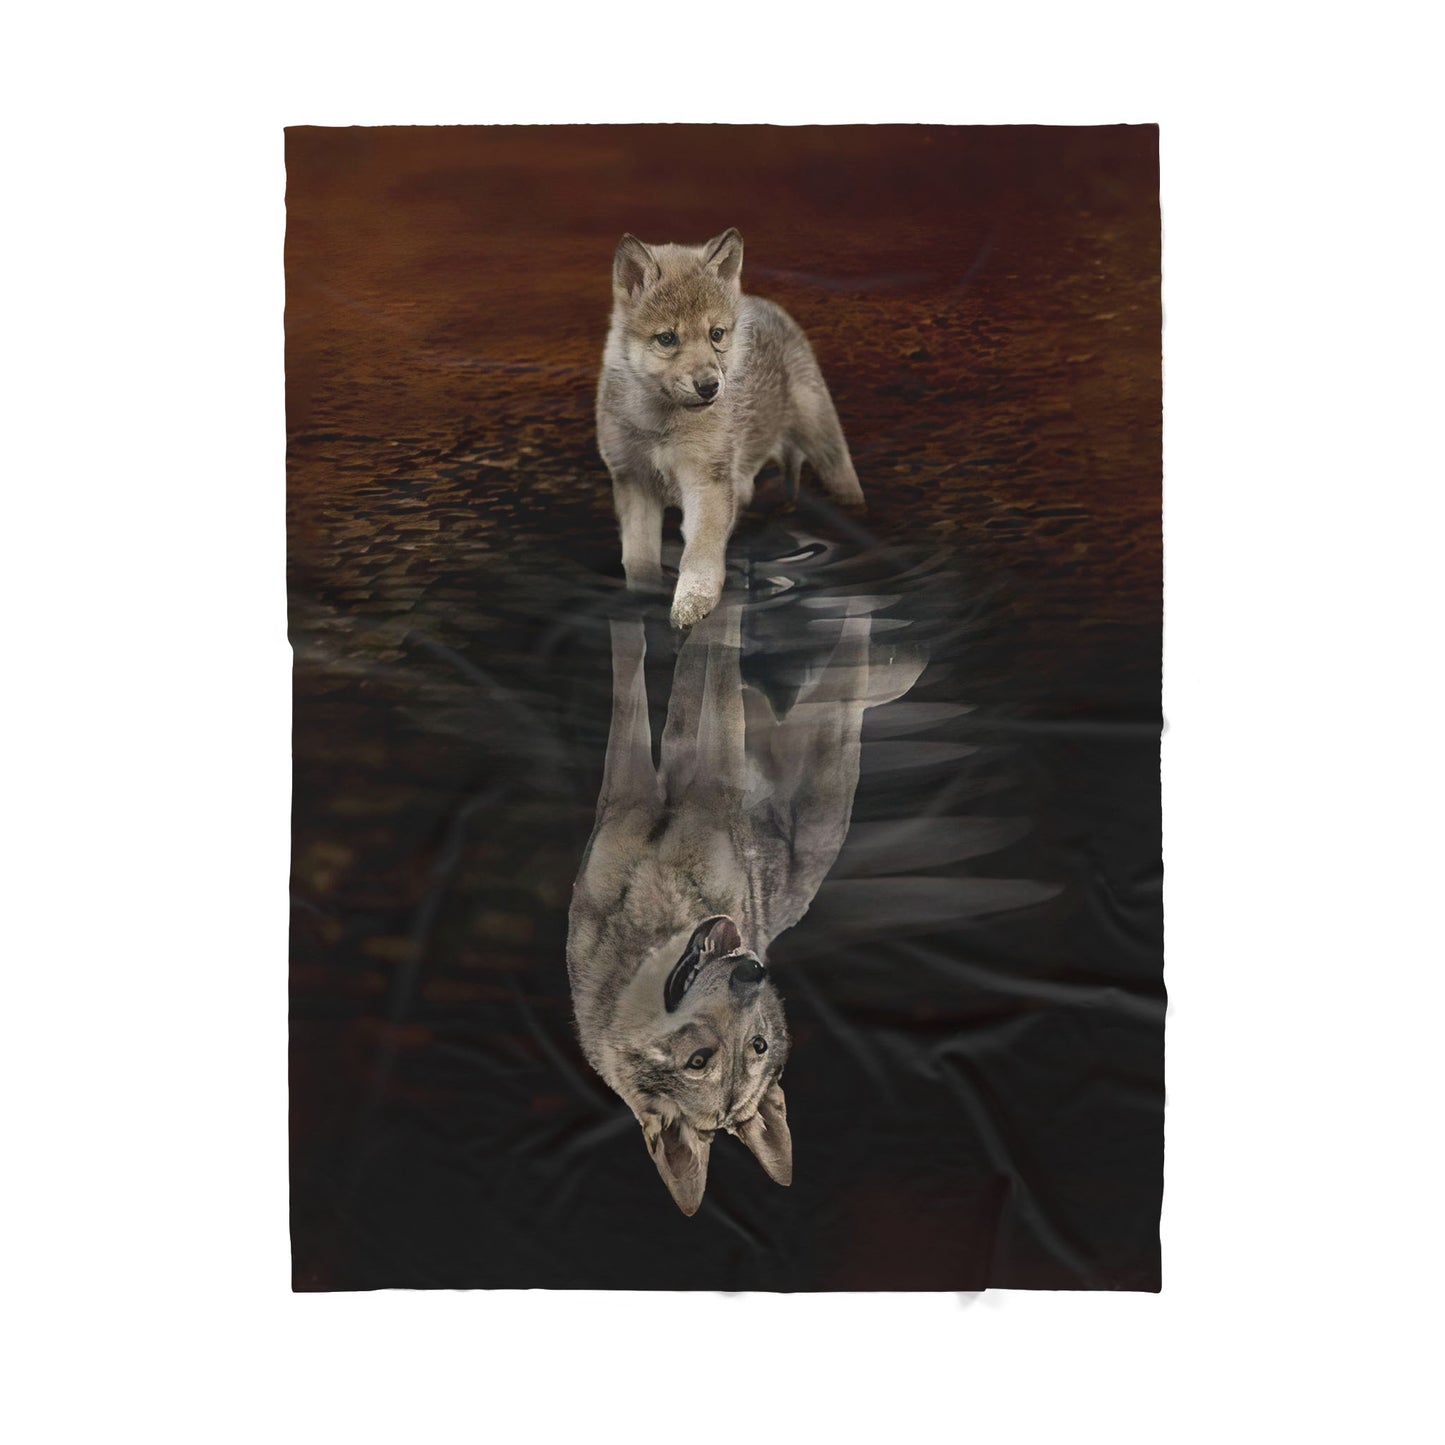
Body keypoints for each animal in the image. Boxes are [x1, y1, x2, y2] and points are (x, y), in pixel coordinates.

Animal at [566, 601, 924, 1214]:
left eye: (756, 1045)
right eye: (699, 1061)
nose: (752, 971)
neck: (651, 928)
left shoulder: (700, 777)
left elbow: (684, 676)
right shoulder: (639, 786)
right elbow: (648, 677)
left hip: (823, 758)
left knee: (841, 678)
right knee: (824, 686)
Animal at [596, 229, 864, 632]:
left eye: (716, 334)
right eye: (667, 338)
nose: (710, 386)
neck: (659, 427)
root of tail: (760, 302)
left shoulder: (708, 481)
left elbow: (701, 555)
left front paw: (691, 605)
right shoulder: (633, 482)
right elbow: (639, 562)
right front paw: (644, 600)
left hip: (826, 445)